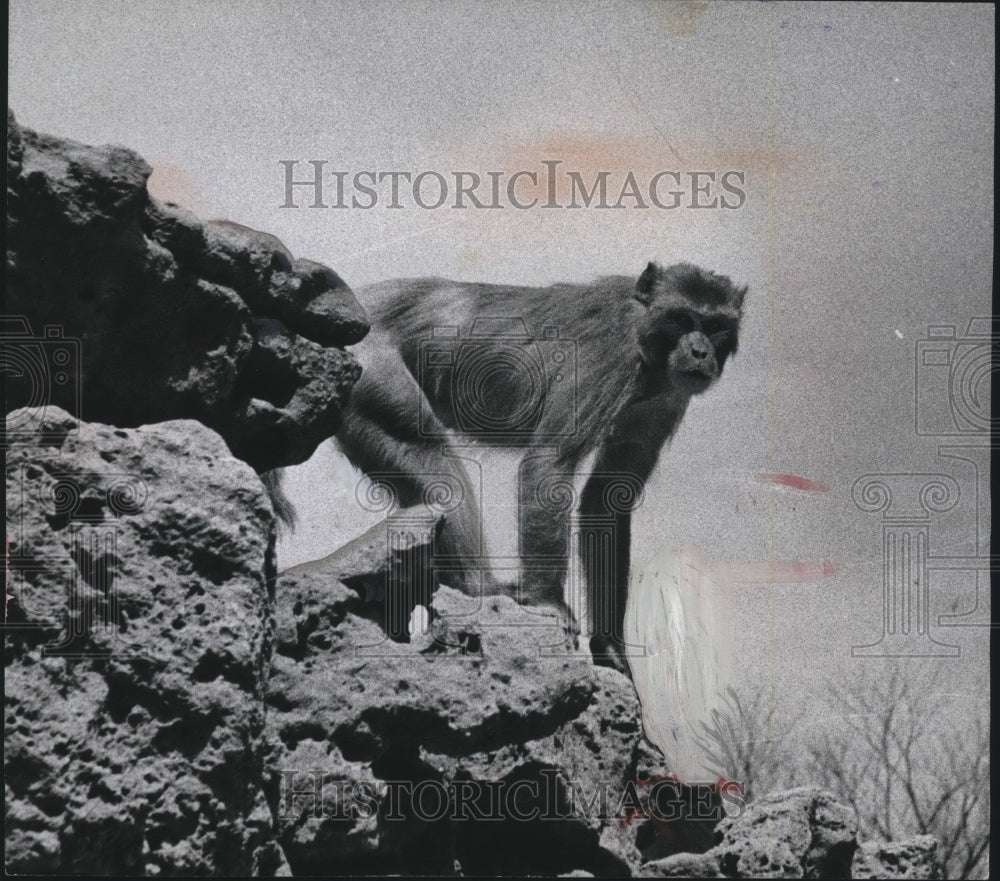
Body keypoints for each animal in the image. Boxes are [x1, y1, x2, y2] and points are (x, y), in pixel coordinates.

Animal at [272, 262, 744, 672]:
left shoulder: (665, 396)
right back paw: (483, 594)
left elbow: (608, 496)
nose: (700, 351)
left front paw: (610, 646)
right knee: (432, 462)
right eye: (682, 319)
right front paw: (546, 603)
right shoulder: (608, 355)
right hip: (371, 367)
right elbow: (548, 464)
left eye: (716, 326)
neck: (645, 338)